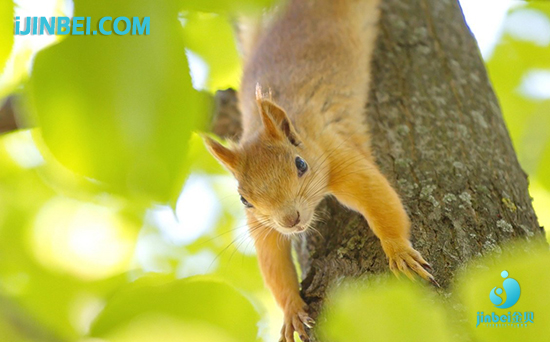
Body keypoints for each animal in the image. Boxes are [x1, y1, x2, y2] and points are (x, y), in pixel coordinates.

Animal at [205, 1, 438, 340]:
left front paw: (398, 251)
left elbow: (379, 199)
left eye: (300, 164)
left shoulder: (336, 153)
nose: (290, 220)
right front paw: (291, 309)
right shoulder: (262, 225)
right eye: (243, 200)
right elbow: (273, 259)